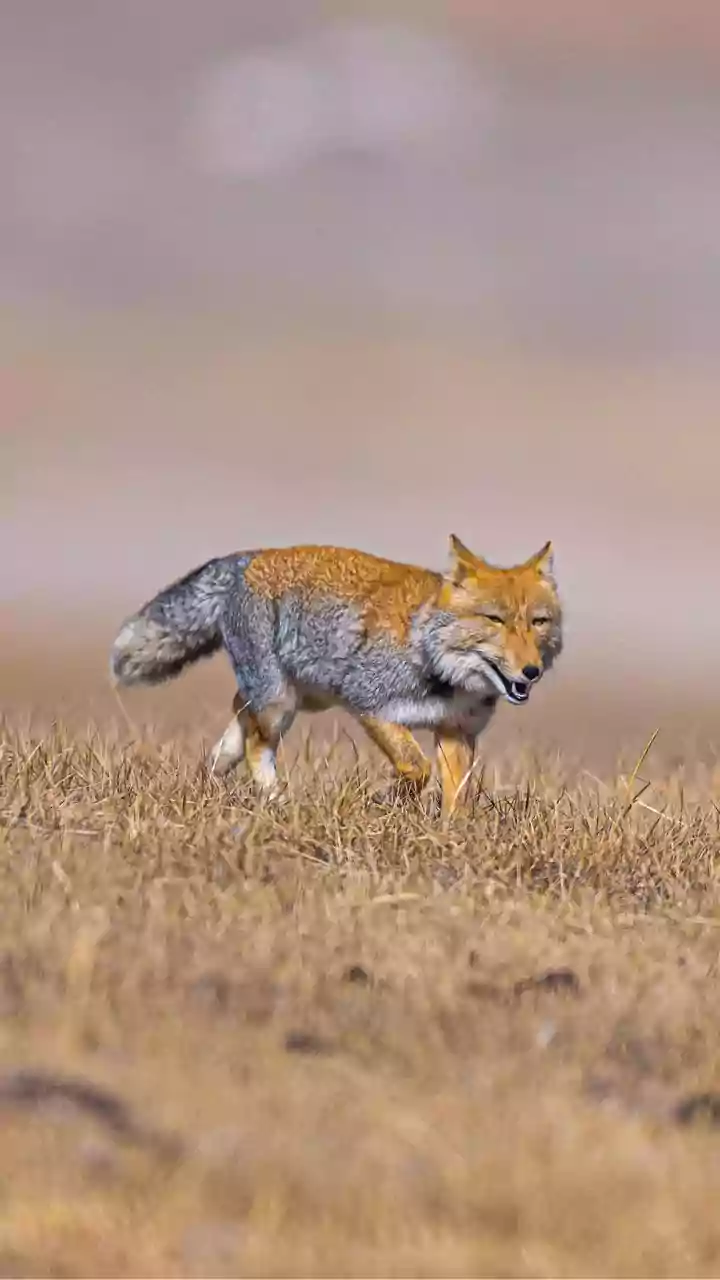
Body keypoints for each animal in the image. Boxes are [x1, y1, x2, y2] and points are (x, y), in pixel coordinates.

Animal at [111, 537, 562, 815]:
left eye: (538, 623)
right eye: (495, 620)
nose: (531, 671)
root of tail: (252, 556)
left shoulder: (456, 732)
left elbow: (457, 800)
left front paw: (449, 836)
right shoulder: (370, 705)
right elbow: (416, 769)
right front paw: (384, 799)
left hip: (300, 698)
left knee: (241, 709)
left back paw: (218, 766)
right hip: (281, 704)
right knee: (258, 740)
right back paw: (275, 797)